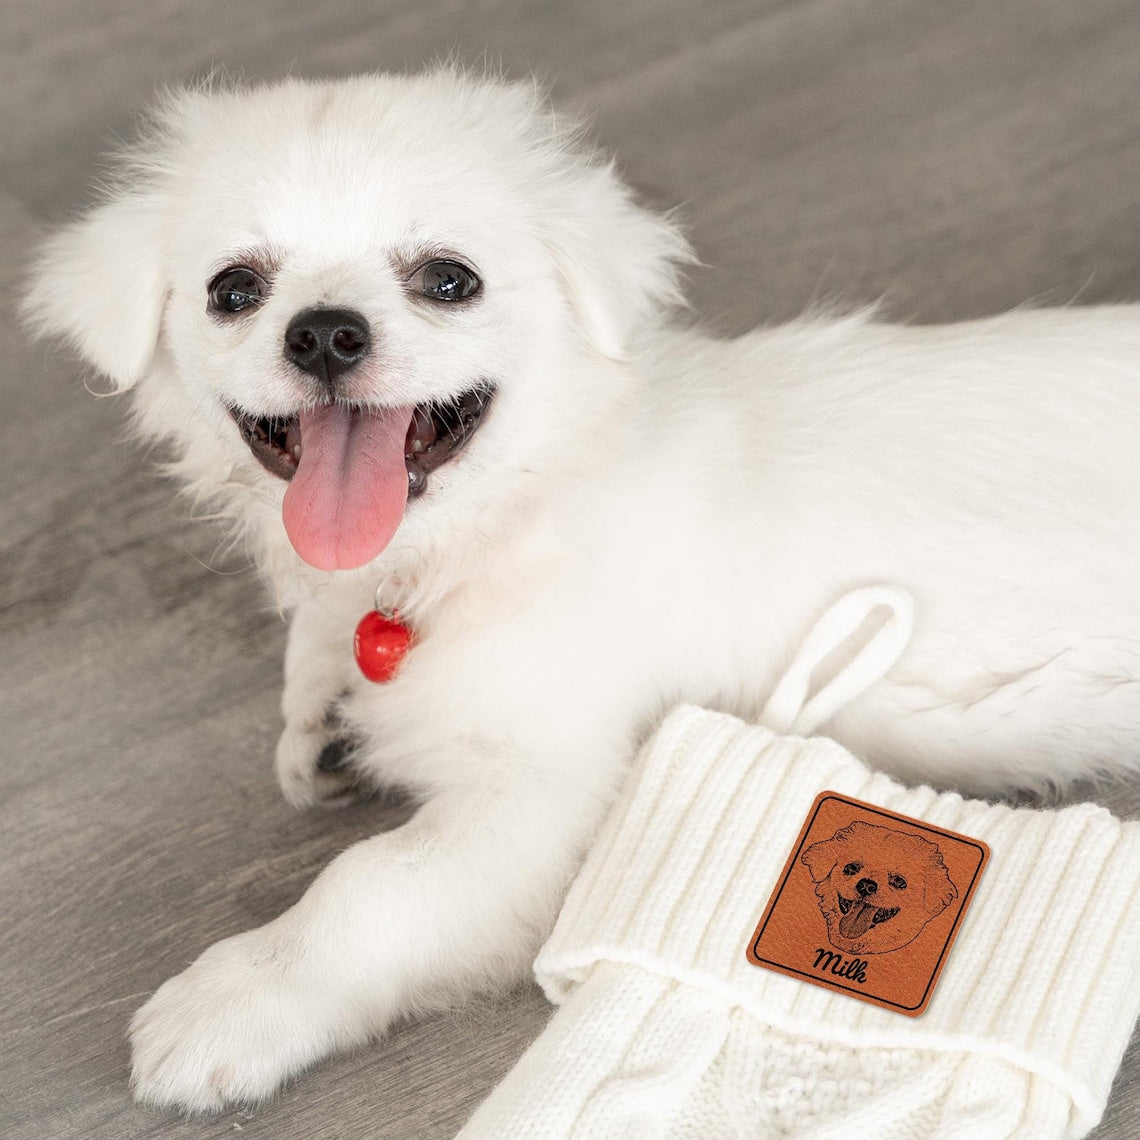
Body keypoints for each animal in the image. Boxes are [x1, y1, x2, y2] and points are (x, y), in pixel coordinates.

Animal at [24, 66, 1140, 1108]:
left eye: (448, 280)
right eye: (234, 290)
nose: (325, 332)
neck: (486, 535)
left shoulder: (547, 796)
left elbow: (369, 888)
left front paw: (236, 998)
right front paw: (319, 726)